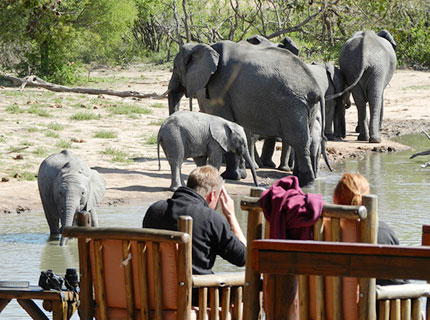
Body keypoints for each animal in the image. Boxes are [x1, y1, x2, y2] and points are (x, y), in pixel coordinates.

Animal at [168, 39, 326, 186]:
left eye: (175, 67)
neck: (206, 47)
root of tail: (316, 88)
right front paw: (240, 174)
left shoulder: (220, 87)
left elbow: (224, 119)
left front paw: (230, 176)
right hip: (306, 106)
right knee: (305, 137)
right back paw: (300, 179)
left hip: (292, 105)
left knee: (299, 140)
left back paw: (307, 182)